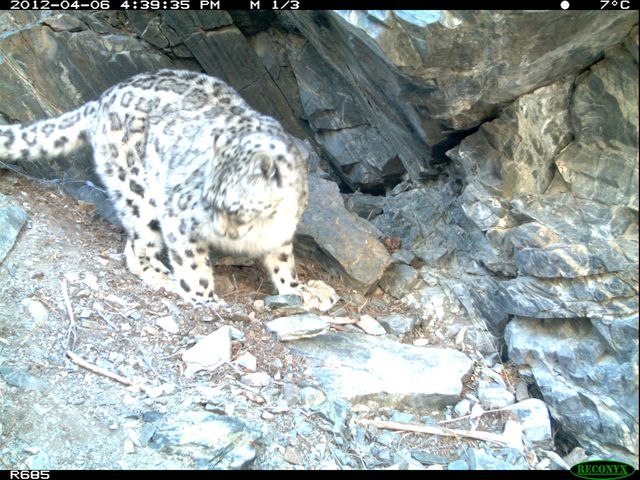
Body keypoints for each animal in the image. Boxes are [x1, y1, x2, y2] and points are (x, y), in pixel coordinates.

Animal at [0, 68, 340, 312]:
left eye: (235, 207)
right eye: (207, 200)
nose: (219, 231)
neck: (263, 225)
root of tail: (105, 97)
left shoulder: (280, 236)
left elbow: (284, 265)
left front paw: (298, 291)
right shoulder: (180, 215)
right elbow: (193, 265)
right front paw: (205, 298)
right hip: (140, 193)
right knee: (138, 245)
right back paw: (163, 277)